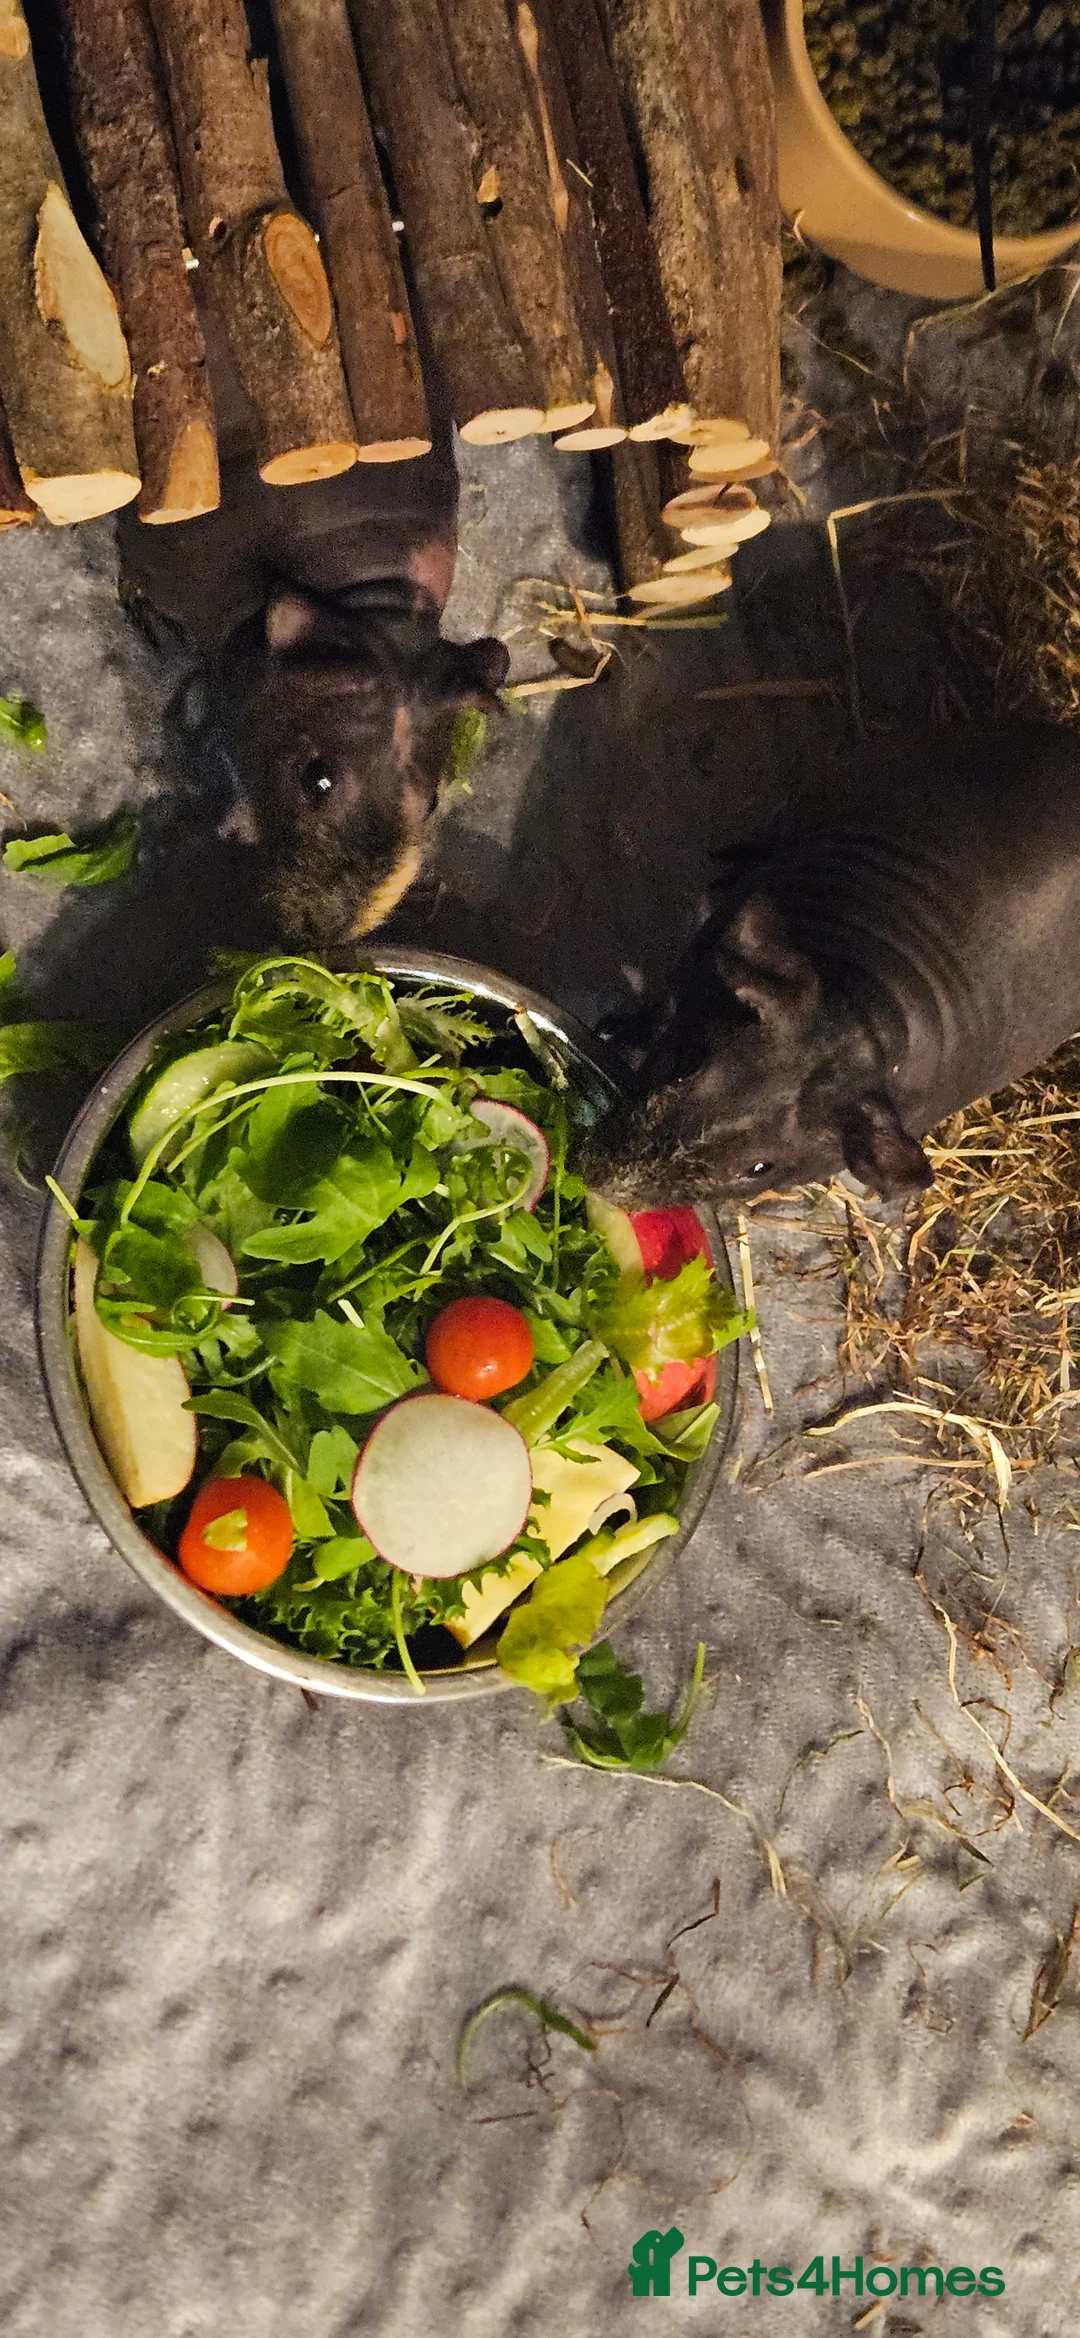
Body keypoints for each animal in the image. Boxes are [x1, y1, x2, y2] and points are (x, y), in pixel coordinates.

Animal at [587, 722, 1080, 1204]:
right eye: (684, 1066)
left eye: (758, 1168)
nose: (602, 1187)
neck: (858, 1022)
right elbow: (655, 1013)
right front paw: (610, 1031)